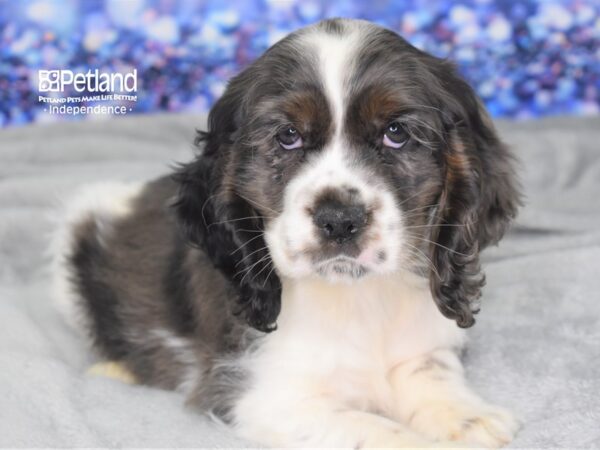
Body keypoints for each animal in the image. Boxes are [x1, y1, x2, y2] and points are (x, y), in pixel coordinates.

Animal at [55, 18, 520, 450]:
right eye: (288, 136)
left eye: (396, 133)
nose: (339, 219)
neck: (357, 297)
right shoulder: (259, 395)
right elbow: (369, 428)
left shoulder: (425, 343)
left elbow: (431, 371)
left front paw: (468, 418)